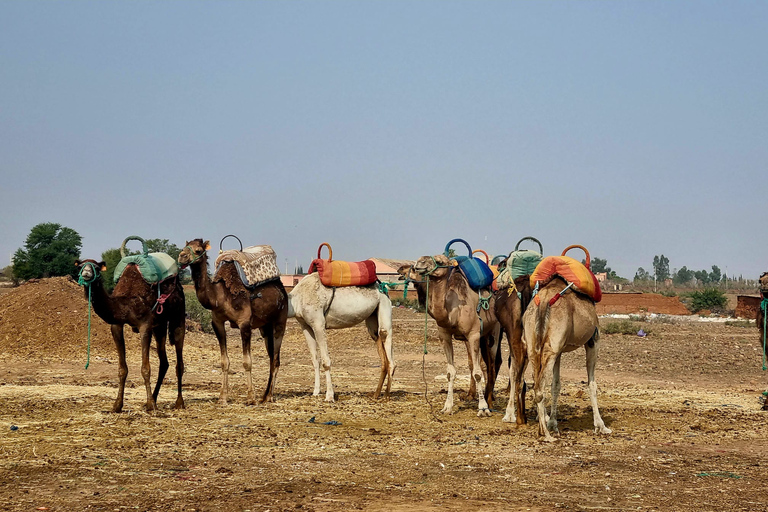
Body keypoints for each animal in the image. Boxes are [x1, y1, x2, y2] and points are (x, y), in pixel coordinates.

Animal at [74, 260, 185, 412]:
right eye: (80, 267)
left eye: (96, 267)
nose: (86, 273)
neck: (126, 304)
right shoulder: (116, 325)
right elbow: (122, 369)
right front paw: (117, 405)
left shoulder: (145, 325)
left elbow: (145, 368)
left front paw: (151, 406)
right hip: (160, 325)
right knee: (164, 362)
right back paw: (154, 398)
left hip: (178, 315)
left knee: (179, 360)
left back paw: (179, 402)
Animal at [177, 239, 288, 404]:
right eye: (184, 247)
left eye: (198, 250)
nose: (182, 256)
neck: (220, 295)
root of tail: (282, 289)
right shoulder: (217, 322)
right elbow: (224, 361)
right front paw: (223, 397)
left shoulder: (244, 323)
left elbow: (247, 362)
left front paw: (250, 397)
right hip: (265, 326)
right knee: (271, 357)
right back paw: (265, 395)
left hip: (280, 320)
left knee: (275, 358)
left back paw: (269, 396)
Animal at [286, 274, 396, 402]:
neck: (296, 299)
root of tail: (383, 287)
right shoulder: (305, 325)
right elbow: (315, 360)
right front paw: (316, 392)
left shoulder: (318, 323)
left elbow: (326, 361)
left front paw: (329, 396)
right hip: (372, 316)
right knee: (378, 340)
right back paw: (376, 394)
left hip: (384, 304)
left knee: (385, 336)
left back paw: (387, 395)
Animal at [412, 253, 500, 416]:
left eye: (439, 261)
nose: (419, 263)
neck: (453, 311)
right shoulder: (445, 336)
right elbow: (450, 372)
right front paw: (447, 407)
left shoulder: (473, 335)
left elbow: (477, 372)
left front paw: (483, 408)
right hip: (483, 336)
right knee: (487, 365)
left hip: (495, 330)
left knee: (491, 365)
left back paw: (490, 402)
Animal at [520, 276, 612, 440]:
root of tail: (544, 301)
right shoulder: (594, 340)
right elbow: (592, 384)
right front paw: (601, 426)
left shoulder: (560, 349)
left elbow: (555, 385)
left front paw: (553, 423)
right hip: (552, 347)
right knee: (539, 387)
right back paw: (547, 435)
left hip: (533, 345)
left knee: (536, 380)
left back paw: (543, 427)